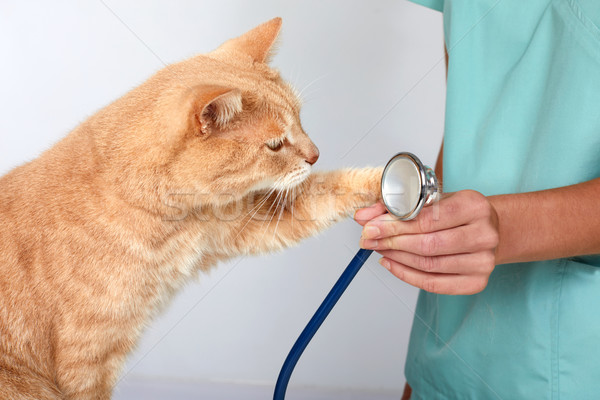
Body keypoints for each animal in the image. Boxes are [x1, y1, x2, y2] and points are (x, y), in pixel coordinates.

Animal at [0, 18, 382, 396]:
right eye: (275, 144)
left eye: (301, 119)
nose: (316, 154)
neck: (170, 220)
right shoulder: (86, 362)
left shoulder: (242, 222)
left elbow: (328, 190)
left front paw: (384, 182)